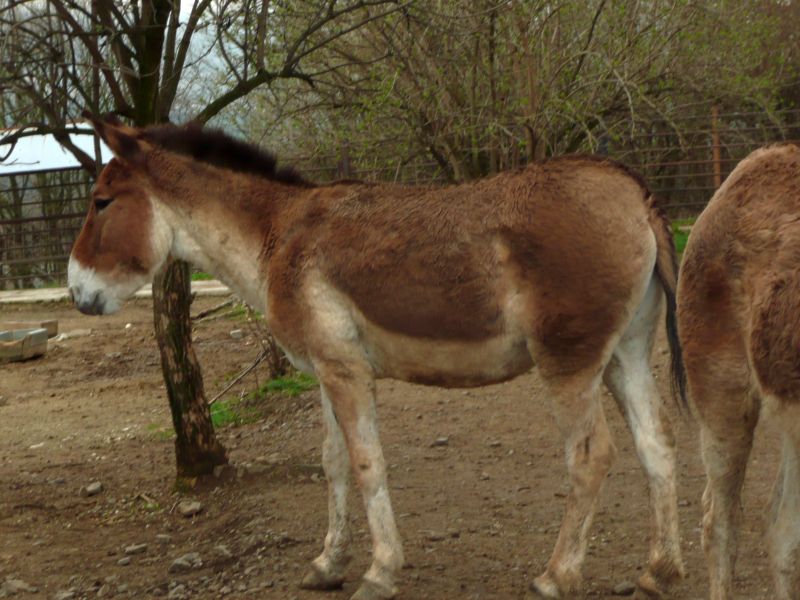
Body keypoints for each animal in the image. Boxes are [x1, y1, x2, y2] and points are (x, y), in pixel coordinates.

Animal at [69, 114, 686, 600]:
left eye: (102, 202)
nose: (76, 292)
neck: (278, 238)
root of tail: (632, 192)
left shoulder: (347, 373)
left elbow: (369, 464)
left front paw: (380, 572)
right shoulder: (323, 372)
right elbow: (334, 463)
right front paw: (327, 565)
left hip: (569, 364)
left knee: (592, 456)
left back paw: (557, 577)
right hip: (625, 355)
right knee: (656, 444)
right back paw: (659, 574)